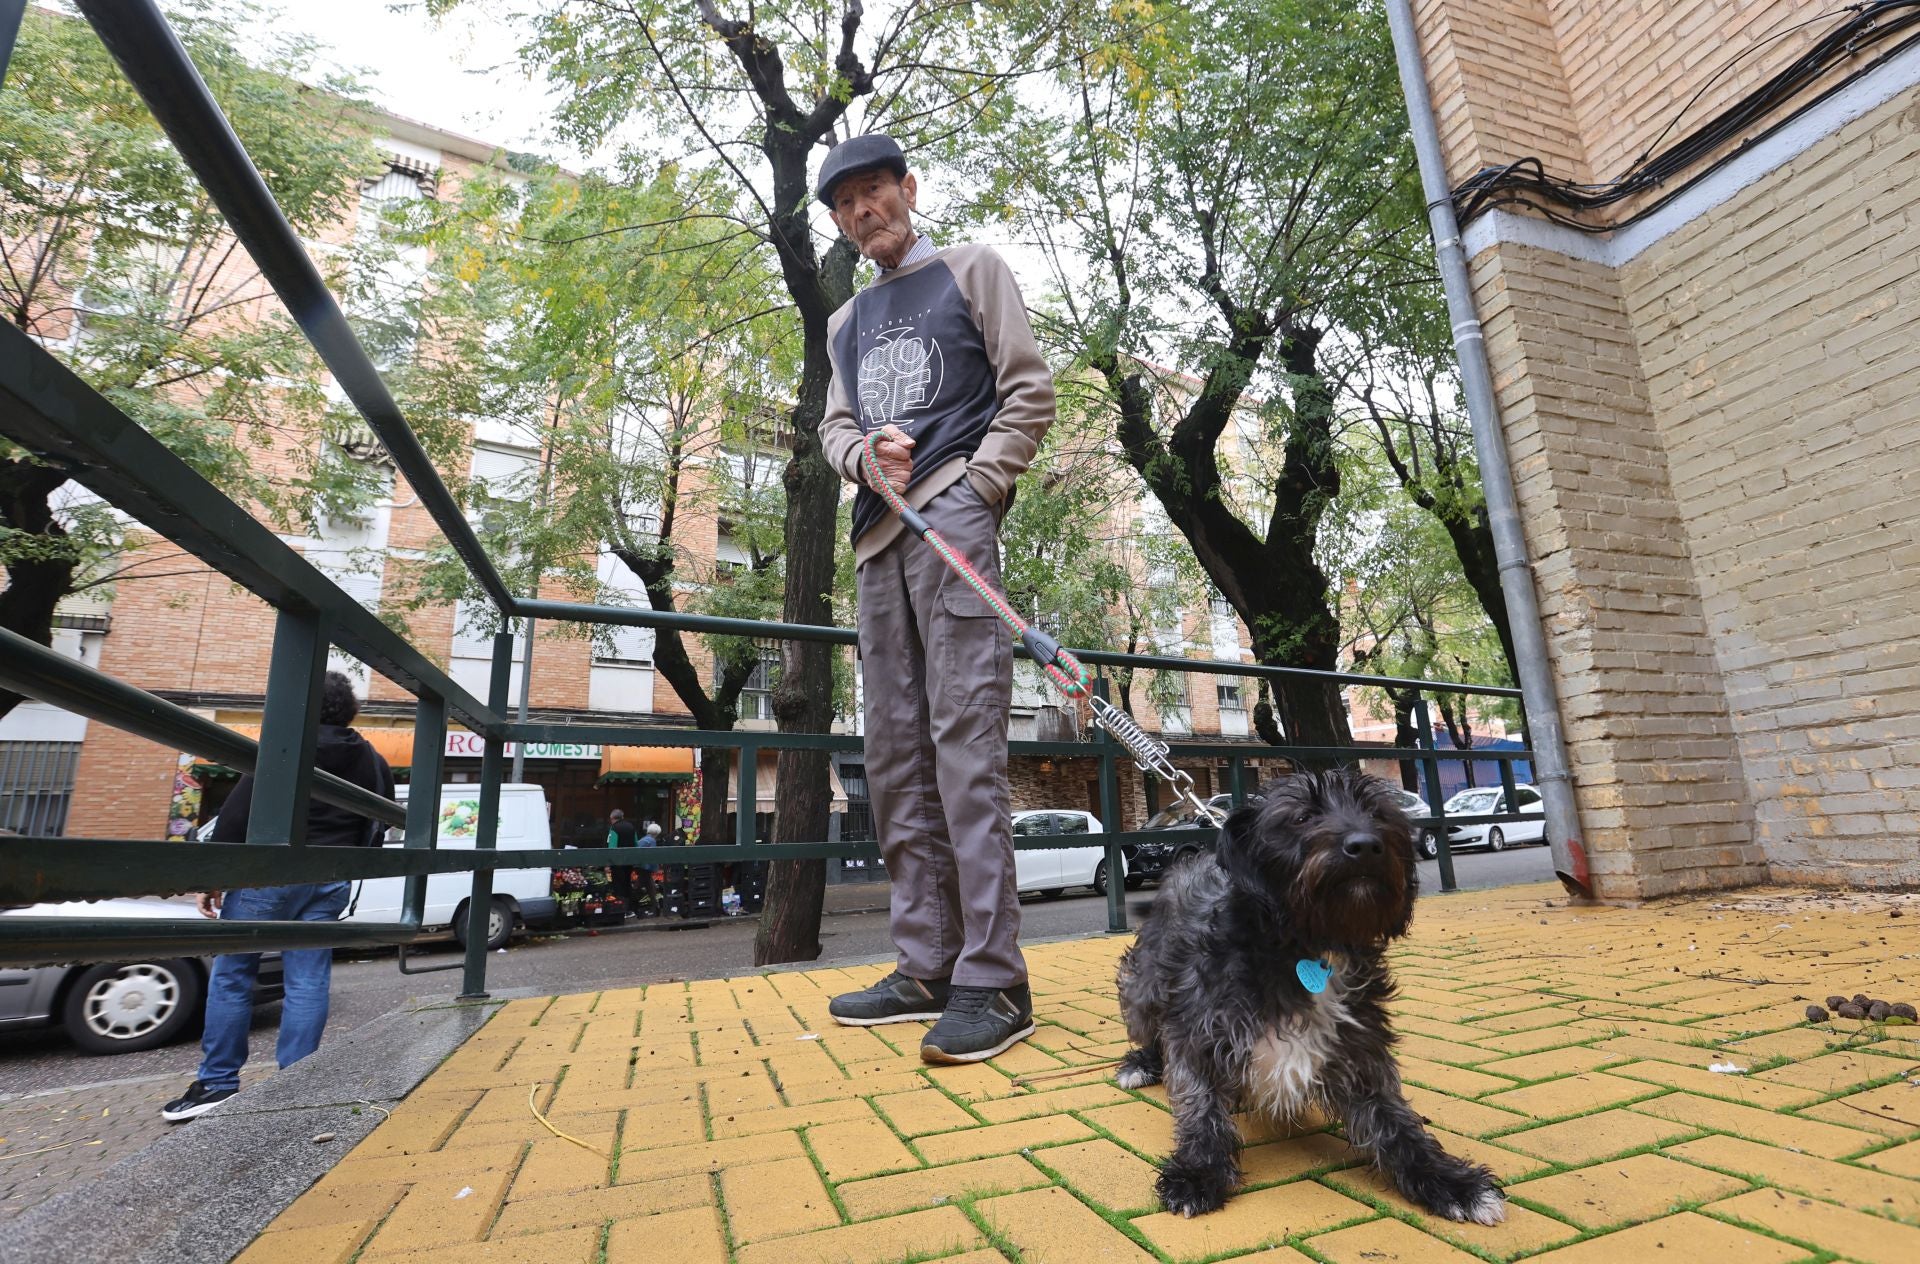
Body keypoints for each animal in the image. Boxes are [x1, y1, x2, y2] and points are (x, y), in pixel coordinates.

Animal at [1121, 768, 1505, 1221]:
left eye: (1377, 813)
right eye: (1302, 817)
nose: (1365, 845)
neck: (1309, 946)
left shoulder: (1361, 1052)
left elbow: (1397, 1124)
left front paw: (1450, 1181)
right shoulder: (1198, 1033)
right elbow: (1201, 1106)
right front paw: (1198, 1172)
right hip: (1142, 987)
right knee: (1151, 1028)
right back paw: (1142, 1063)